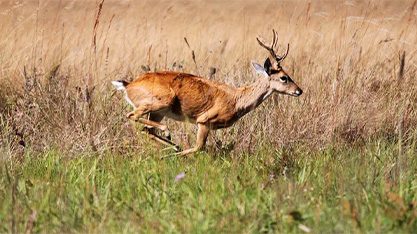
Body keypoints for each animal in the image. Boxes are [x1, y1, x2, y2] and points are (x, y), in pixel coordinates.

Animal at [111, 30, 302, 156]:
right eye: (284, 77)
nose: (299, 90)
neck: (237, 100)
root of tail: (128, 85)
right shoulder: (204, 121)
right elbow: (198, 147)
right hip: (161, 102)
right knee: (132, 115)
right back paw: (169, 137)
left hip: (159, 111)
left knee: (147, 129)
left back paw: (172, 144)